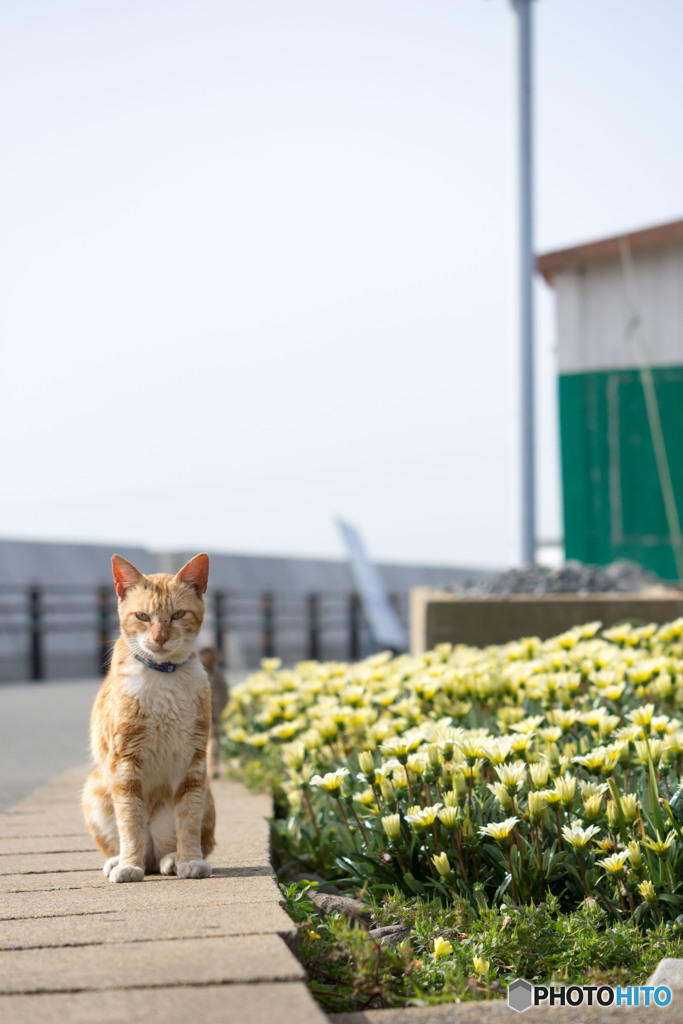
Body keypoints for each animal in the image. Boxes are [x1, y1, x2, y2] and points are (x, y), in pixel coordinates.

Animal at [82, 552, 216, 880]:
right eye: (143, 617)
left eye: (178, 615)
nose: (160, 637)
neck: (163, 675)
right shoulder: (125, 760)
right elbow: (130, 820)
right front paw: (130, 865)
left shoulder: (193, 761)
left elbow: (188, 819)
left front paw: (190, 860)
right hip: (94, 788)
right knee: (132, 843)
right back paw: (120, 861)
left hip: (206, 792)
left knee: (168, 848)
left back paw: (172, 860)